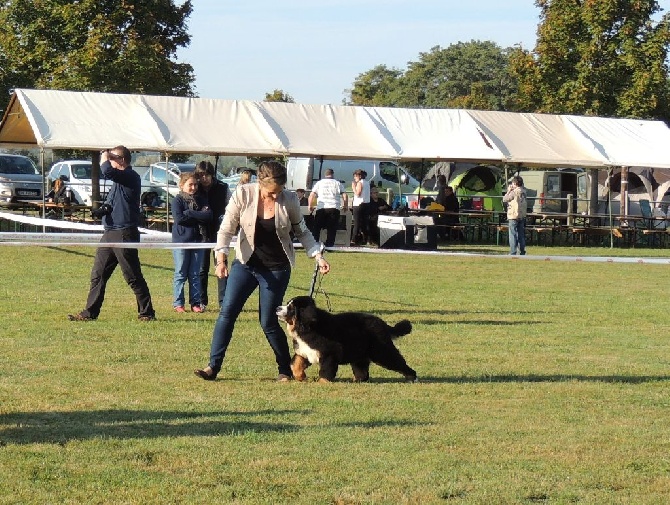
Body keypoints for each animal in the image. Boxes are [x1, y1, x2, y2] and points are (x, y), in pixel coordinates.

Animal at [276, 296, 418, 382]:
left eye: (291, 308)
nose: (277, 308)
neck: (306, 327)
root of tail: (383, 324)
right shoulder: (305, 351)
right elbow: (294, 364)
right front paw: (301, 377)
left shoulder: (329, 354)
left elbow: (325, 372)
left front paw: (322, 383)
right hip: (360, 355)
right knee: (362, 372)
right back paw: (356, 381)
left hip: (382, 352)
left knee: (398, 362)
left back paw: (412, 377)